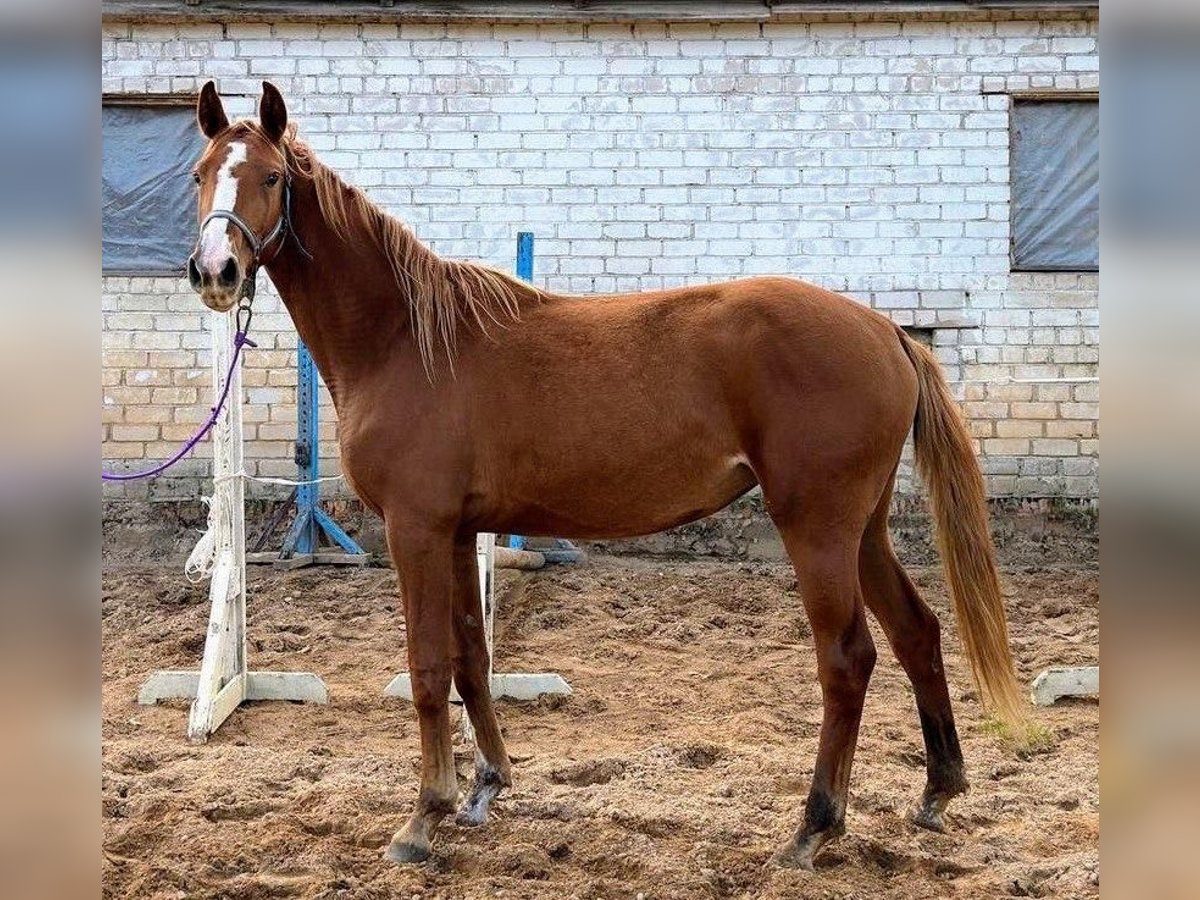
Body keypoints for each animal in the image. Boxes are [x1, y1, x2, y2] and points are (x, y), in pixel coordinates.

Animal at [185, 80, 1025, 869]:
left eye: (269, 176)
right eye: (200, 173)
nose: (215, 270)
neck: (406, 339)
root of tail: (885, 330)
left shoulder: (415, 529)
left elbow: (427, 668)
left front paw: (422, 817)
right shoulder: (456, 532)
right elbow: (470, 657)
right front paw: (486, 784)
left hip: (817, 528)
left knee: (848, 659)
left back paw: (813, 828)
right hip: (864, 530)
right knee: (916, 631)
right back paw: (937, 790)